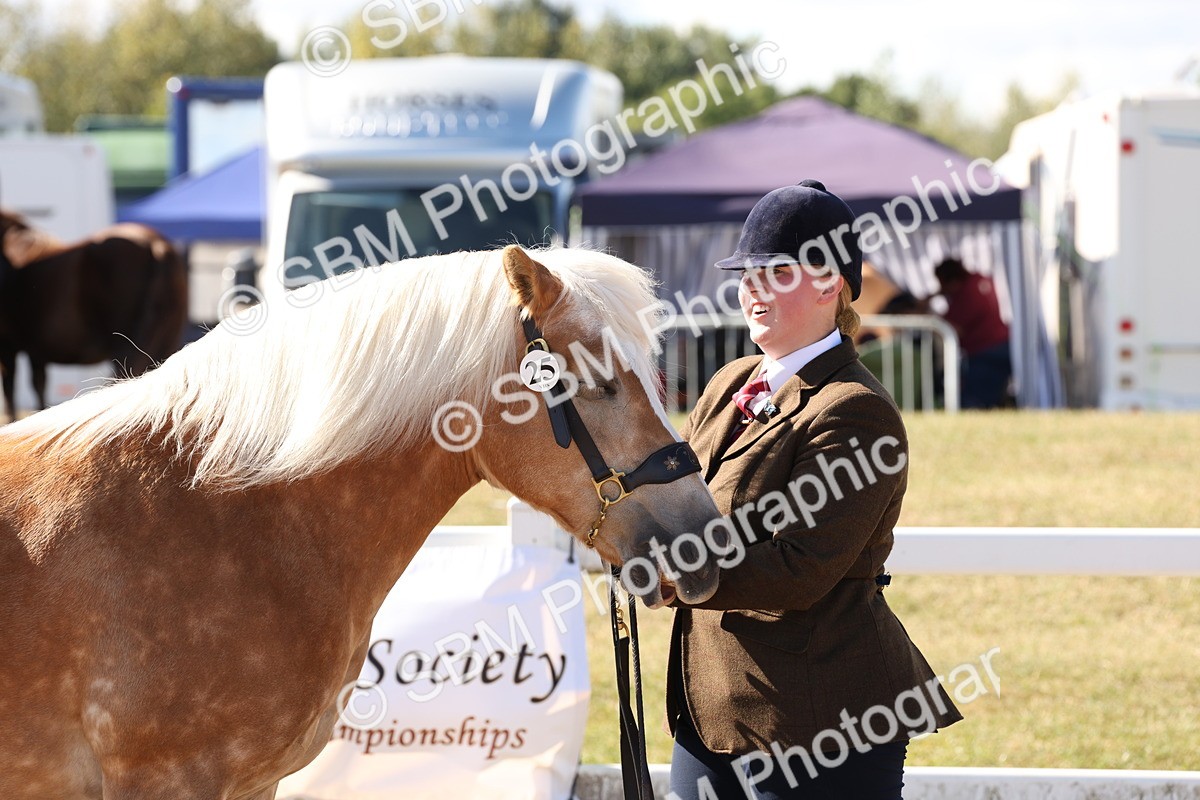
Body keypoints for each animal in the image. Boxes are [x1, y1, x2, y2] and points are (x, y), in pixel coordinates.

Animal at [0, 210, 188, 421]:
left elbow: (11, 390)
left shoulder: (8, 346)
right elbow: (38, 386)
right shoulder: (35, 351)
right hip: (167, 342)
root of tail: (157, 246)